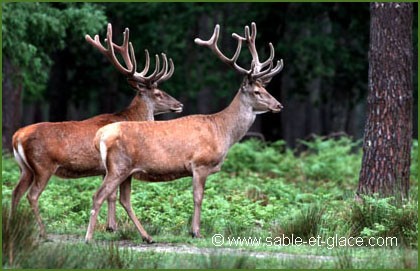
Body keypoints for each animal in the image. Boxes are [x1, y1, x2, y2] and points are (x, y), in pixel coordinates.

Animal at [10, 23, 182, 237]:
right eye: (158, 93)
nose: (179, 104)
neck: (130, 118)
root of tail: (17, 136)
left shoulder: (104, 168)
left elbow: (110, 196)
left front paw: (110, 226)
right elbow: (111, 196)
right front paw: (112, 227)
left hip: (25, 168)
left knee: (15, 193)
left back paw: (12, 226)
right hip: (43, 165)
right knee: (32, 195)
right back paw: (43, 232)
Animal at [85, 22, 282, 244]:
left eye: (266, 89)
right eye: (257, 92)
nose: (278, 105)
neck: (222, 131)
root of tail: (100, 135)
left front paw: (193, 230)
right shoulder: (200, 164)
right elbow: (198, 197)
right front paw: (196, 231)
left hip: (127, 170)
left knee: (124, 199)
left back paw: (147, 236)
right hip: (117, 167)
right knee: (98, 195)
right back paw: (89, 238)